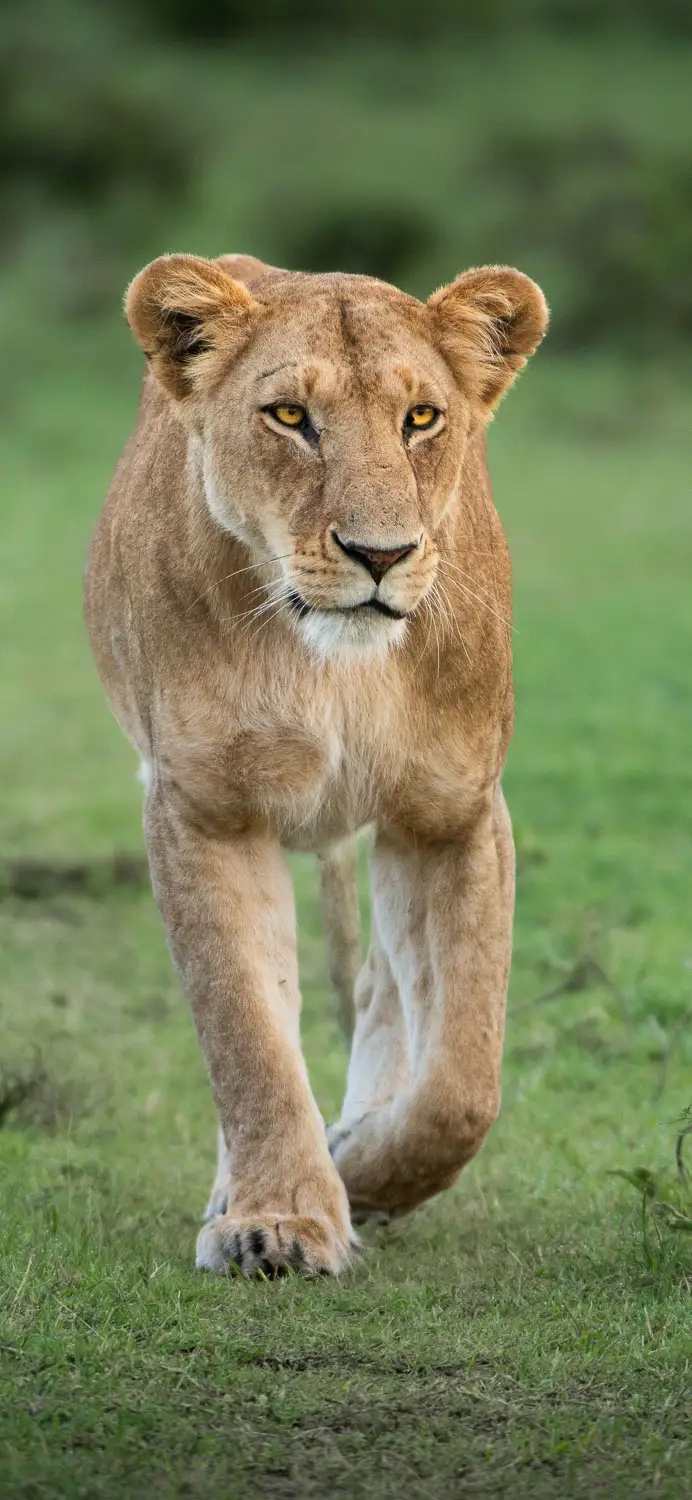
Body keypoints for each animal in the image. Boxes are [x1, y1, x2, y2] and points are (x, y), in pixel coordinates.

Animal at [83, 251, 548, 1277]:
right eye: (290, 416)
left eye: (423, 418)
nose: (382, 554)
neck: (335, 667)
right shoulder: (204, 809)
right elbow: (247, 1031)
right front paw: (279, 1219)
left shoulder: (452, 813)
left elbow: (463, 1082)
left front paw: (362, 1171)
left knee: (383, 990)